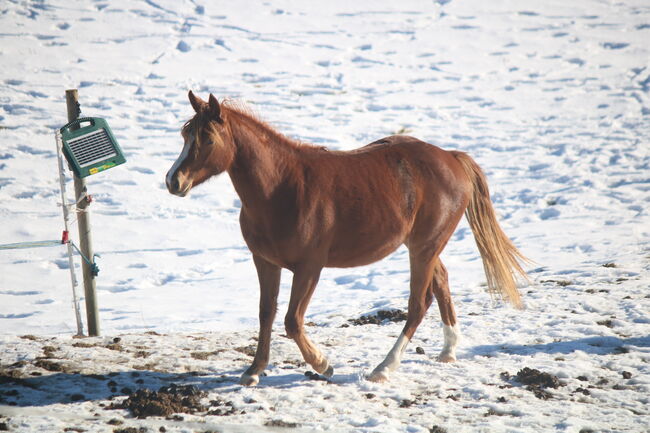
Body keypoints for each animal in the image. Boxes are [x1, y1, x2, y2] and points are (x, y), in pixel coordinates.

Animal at [166, 90, 528, 384]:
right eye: (185, 134)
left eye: (208, 139)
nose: (173, 181)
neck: (281, 188)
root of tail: (451, 157)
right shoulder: (265, 262)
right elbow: (266, 313)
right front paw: (254, 371)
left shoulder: (309, 268)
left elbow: (292, 321)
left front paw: (323, 364)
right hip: (423, 246)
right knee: (441, 282)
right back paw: (448, 351)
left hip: (424, 248)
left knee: (417, 304)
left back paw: (383, 368)